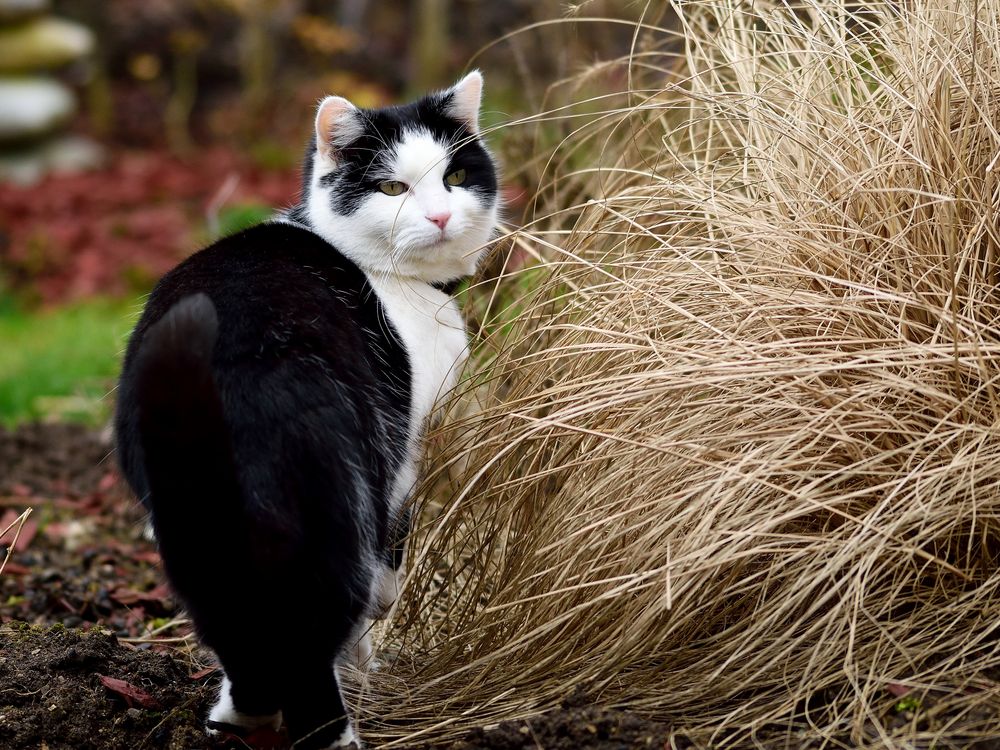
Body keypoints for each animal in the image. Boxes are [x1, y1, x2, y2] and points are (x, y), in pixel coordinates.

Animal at [116, 72, 500, 750]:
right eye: (392, 187)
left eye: (455, 176)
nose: (441, 215)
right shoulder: (406, 452)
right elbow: (390, 563)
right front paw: (372, 659)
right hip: (341, 493)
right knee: (319, 624)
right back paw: (332, 727)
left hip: (192, 522)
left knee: (242, 626)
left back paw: (239, 716)